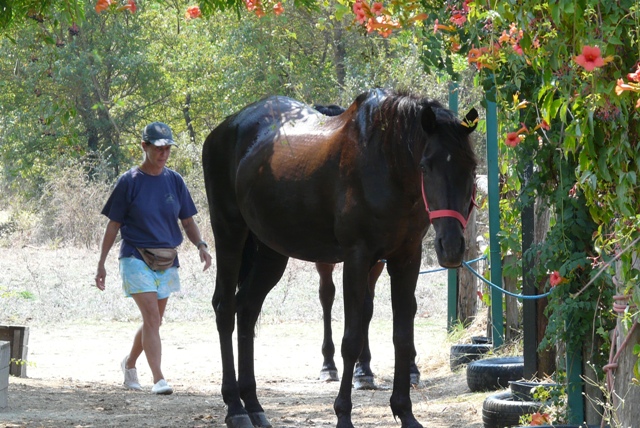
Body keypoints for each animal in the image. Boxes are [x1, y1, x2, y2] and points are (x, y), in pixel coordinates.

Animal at [314, 103, 422, 388]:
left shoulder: (384, 260)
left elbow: (377, 307)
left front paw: (369, 368)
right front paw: (359, 368)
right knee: (326, 296)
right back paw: (328, 364)